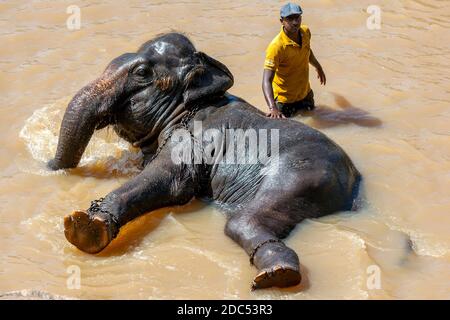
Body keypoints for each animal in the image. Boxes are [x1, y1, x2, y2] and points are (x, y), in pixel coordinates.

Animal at [47, 32, 360, 290]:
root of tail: (355, 184)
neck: (191, 102)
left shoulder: (191, 141)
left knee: (243, 220)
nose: (49, 166)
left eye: (141, 73)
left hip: (304, 172)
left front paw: (84, 225)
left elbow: (173, 183)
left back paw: (277, 274)